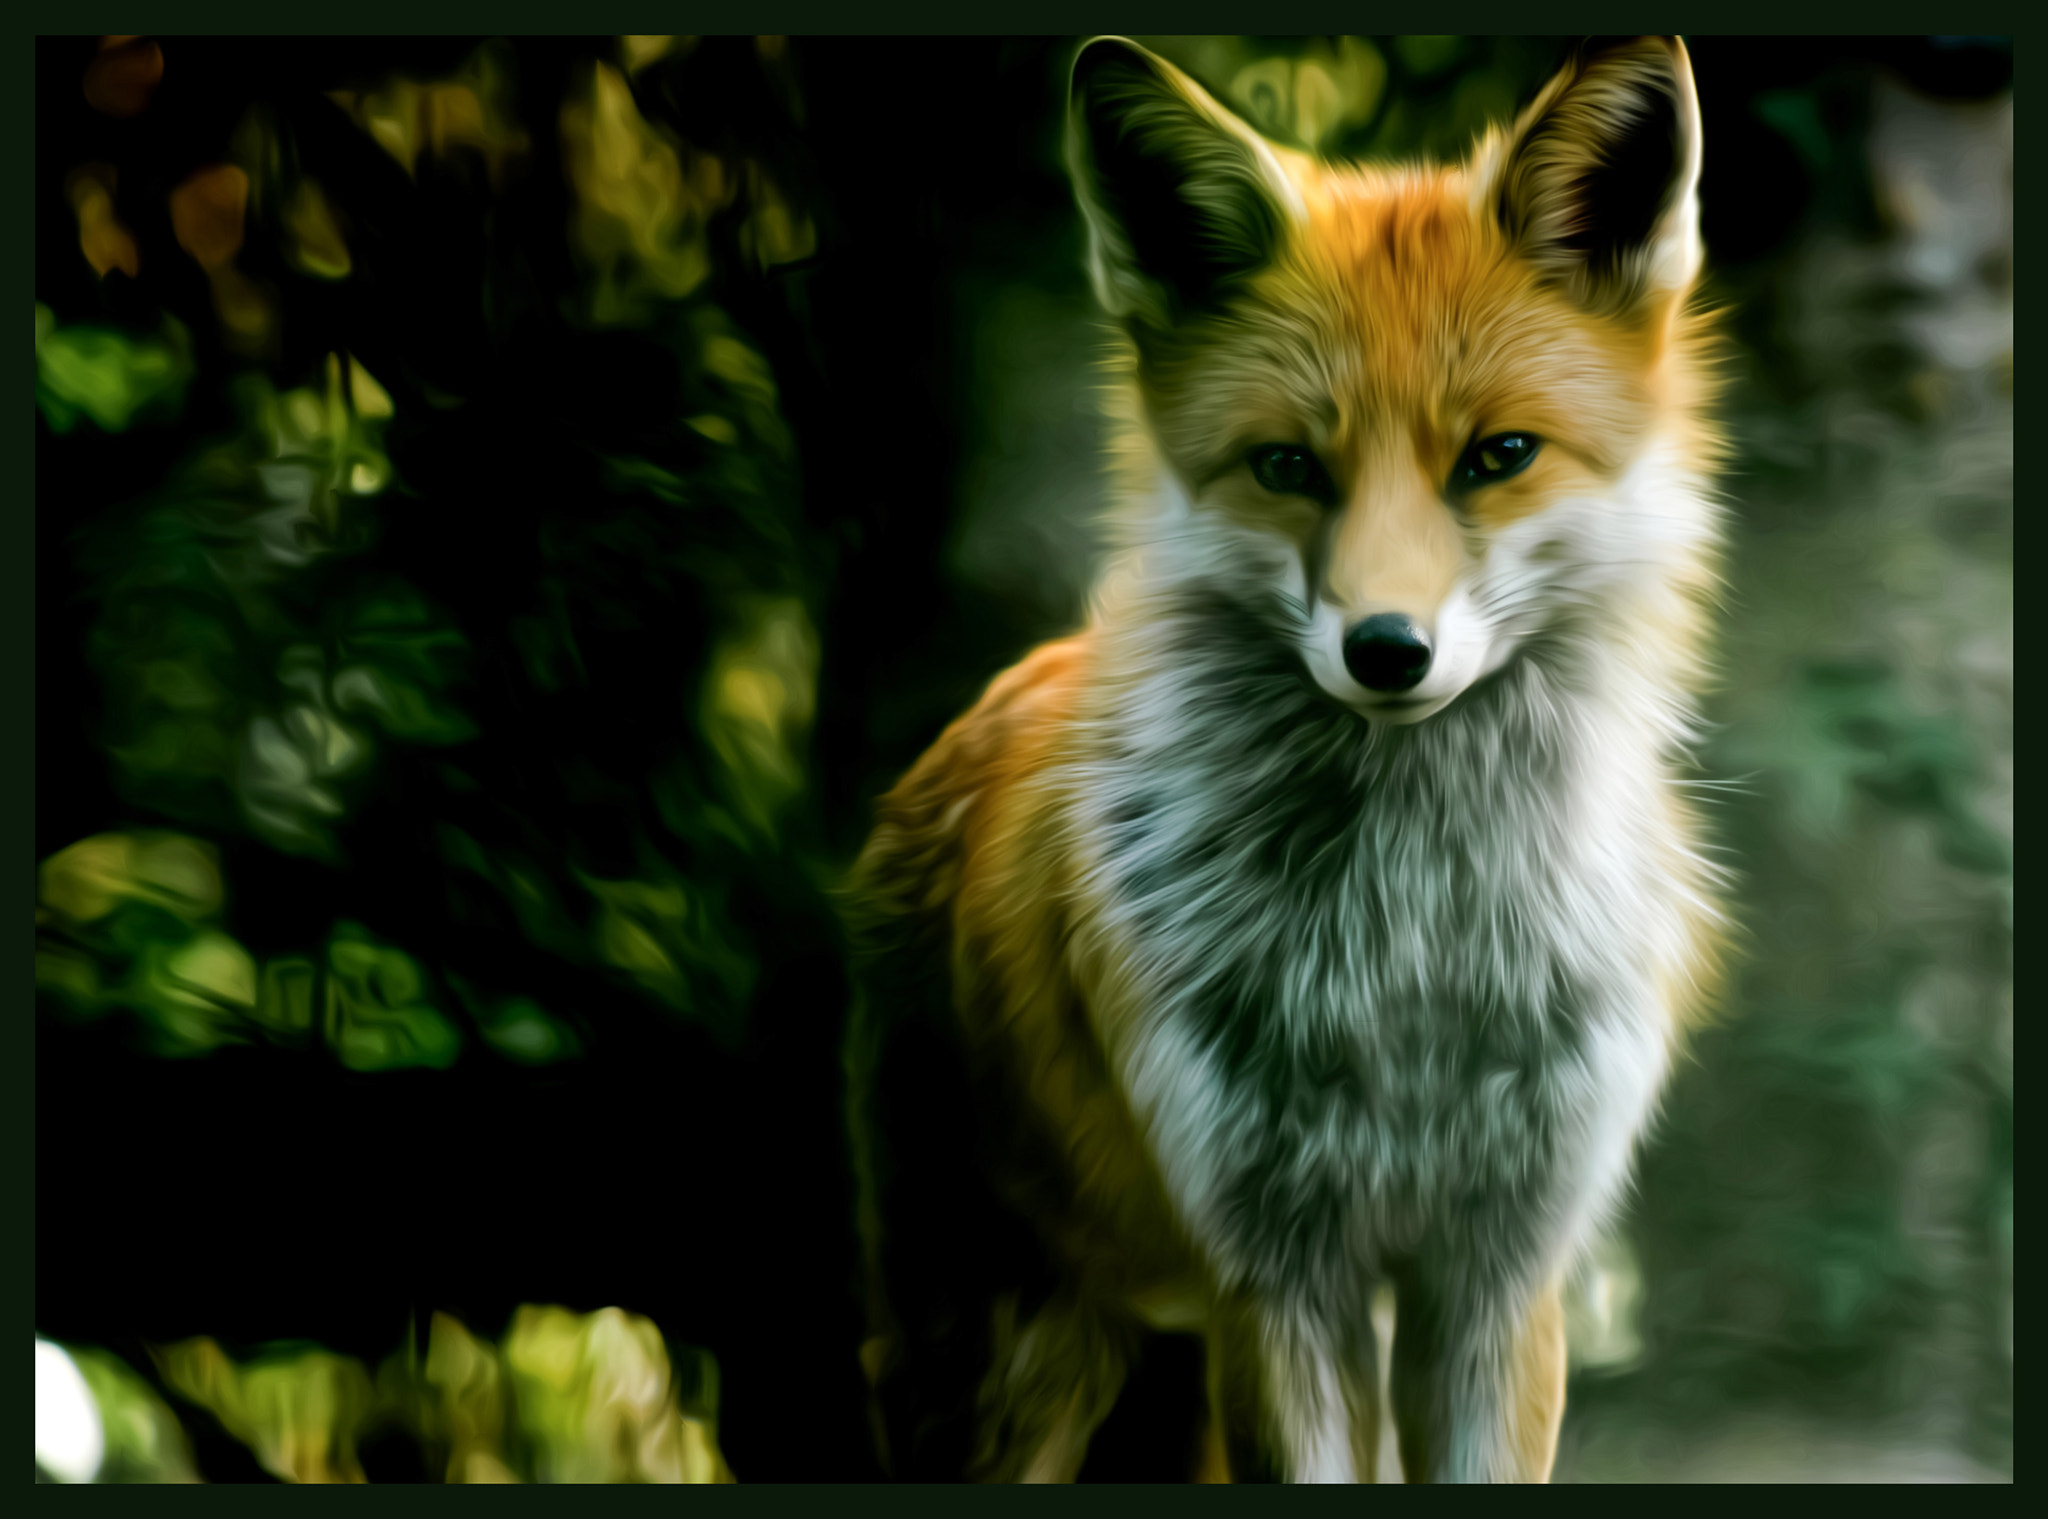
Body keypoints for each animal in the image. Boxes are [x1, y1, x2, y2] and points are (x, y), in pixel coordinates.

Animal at [843, 35, 1729, 1483]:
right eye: (1286, 466)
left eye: (1498, 455)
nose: (1387, 650)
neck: (1410, 953)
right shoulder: (1273, 1277)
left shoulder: (1496, 1276)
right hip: (1014, 1358)